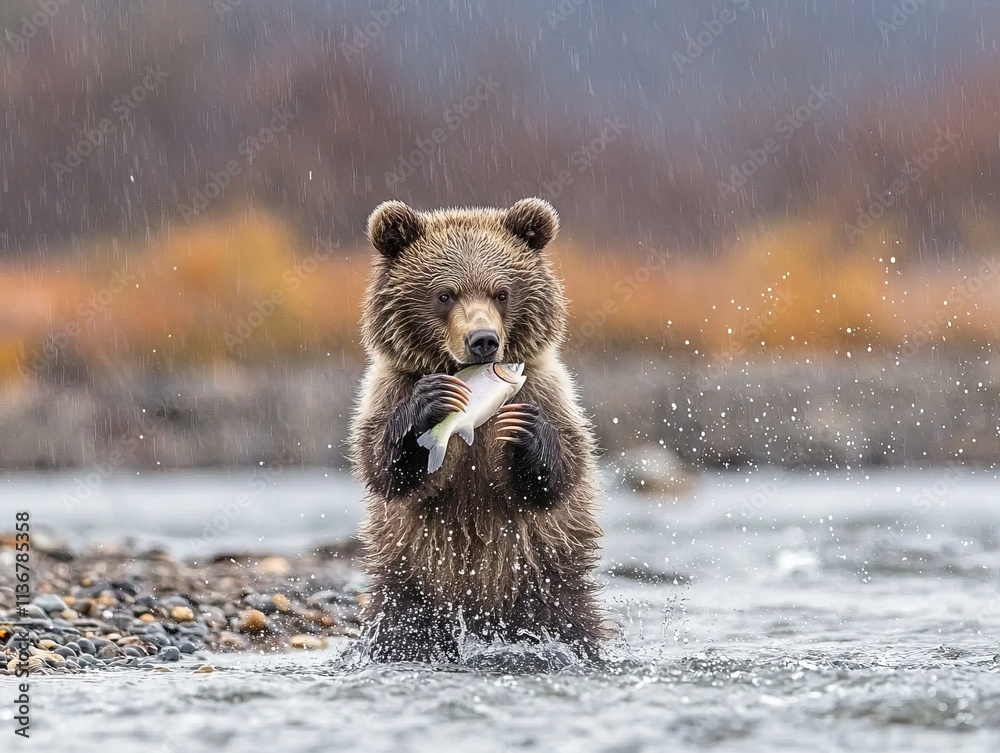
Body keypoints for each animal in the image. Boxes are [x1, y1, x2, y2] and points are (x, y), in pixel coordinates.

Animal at [350, 197, 609, 663]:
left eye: (501, 292)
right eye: (444, 293)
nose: (483, 339)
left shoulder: (546, 387)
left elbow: (565, 467)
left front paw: (525, 430)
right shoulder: (390, 386)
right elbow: (381, 462)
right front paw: (431, 403)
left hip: (547, 584)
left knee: (573, 626)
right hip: (411, 586)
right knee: (399, 633)